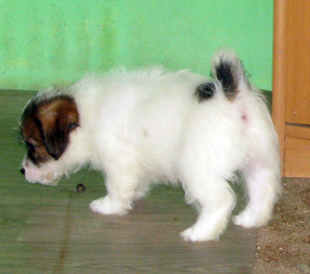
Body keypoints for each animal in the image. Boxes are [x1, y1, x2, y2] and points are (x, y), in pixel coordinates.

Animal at [19, 49, 280, 242]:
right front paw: (136, 193)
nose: (22, 170)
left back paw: (201, 233)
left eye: (32, 146)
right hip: (260, 160)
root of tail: (234, 98)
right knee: (263, 191)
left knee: (221, 200)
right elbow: (136, 182)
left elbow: (116, 187)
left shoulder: (118, 160)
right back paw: (251, 219)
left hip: (198, 168)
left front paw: (108, 206)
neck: (86, 114)